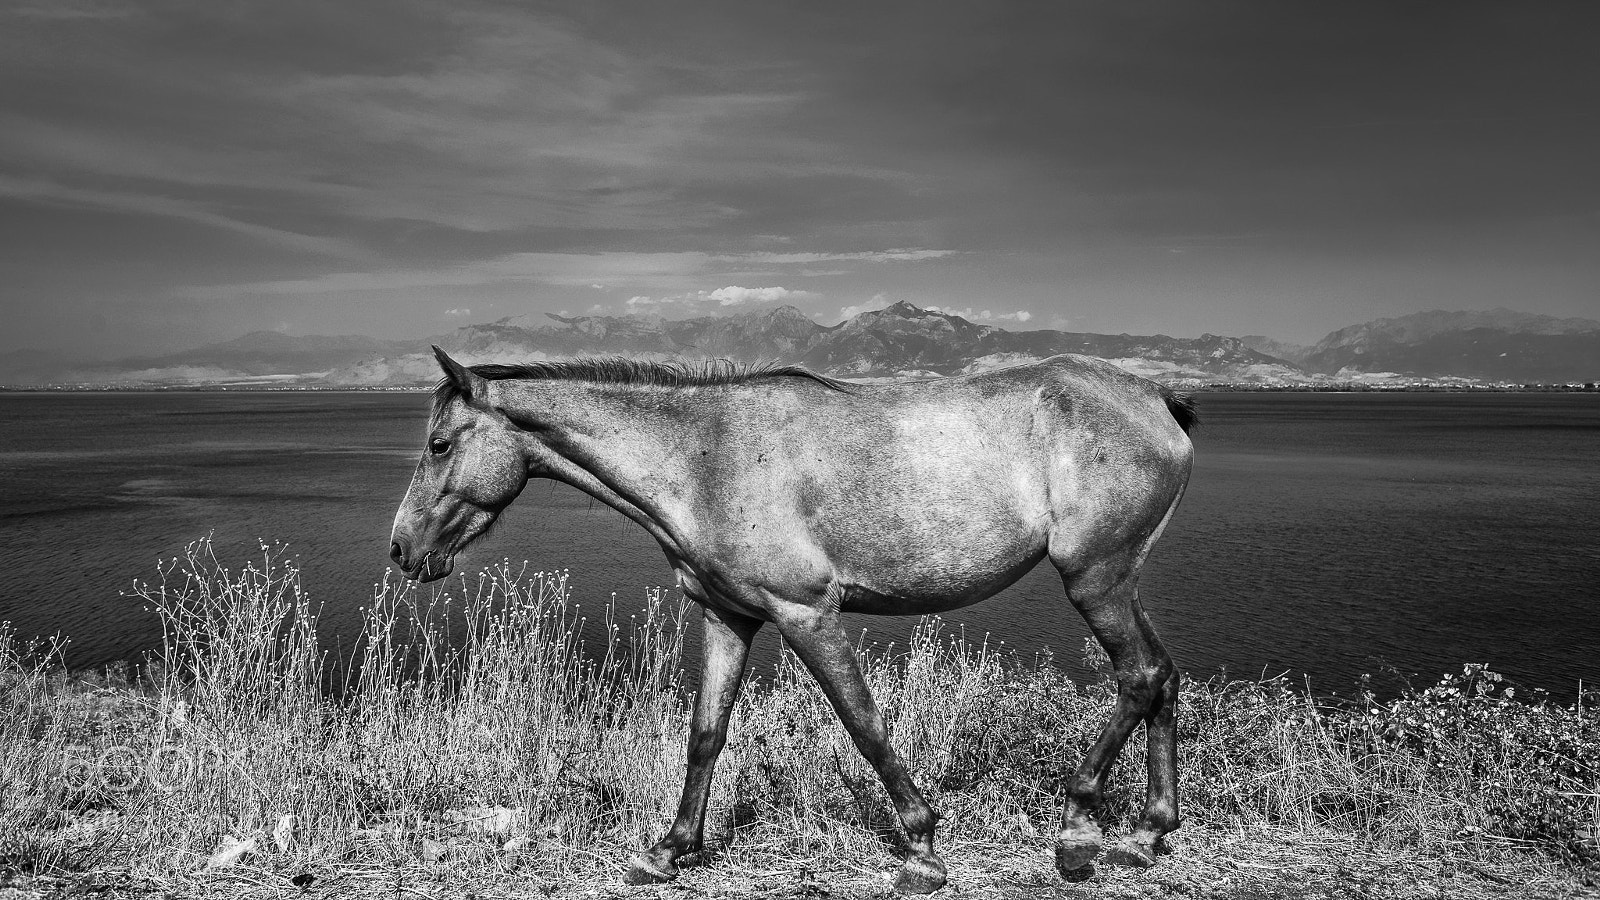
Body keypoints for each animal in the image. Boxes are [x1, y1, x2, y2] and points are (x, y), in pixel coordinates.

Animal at [389, 346, 1196, 894]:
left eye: (439, 443)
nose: (402, 550)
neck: (704, 459)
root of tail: (1160, 402)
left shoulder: (807, 613)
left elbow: (864, 723)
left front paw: (922, 848)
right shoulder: (728, 616)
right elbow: (705, 735)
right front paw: (669, 849)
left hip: (1093, 577)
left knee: (1138, 676)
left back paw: (1079, 830)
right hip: (1119, 579)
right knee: (1162, 676)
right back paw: (1147, 833)